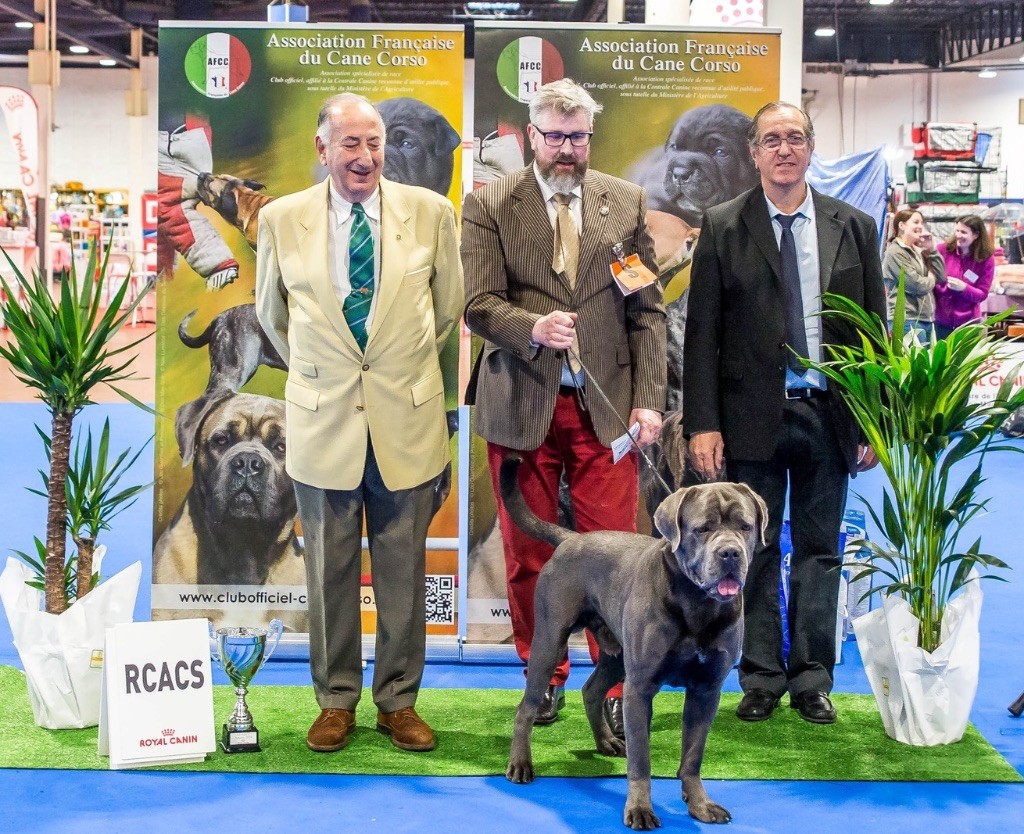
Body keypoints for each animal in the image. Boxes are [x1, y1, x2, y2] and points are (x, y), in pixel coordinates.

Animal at [499, 456, 765, 827]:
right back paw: (520, 763)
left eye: (745, 527)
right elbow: (641, 759)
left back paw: (606, 741)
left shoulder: (706, 689)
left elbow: (693, 754)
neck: (697, 604)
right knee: (526, 706)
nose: (730, 553)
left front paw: (699, 804)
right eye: (703, 529)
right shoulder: (639, 688)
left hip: (617, 654)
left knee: (592, 689)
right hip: (550, 640)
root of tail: (570, 538)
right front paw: (640, 808)